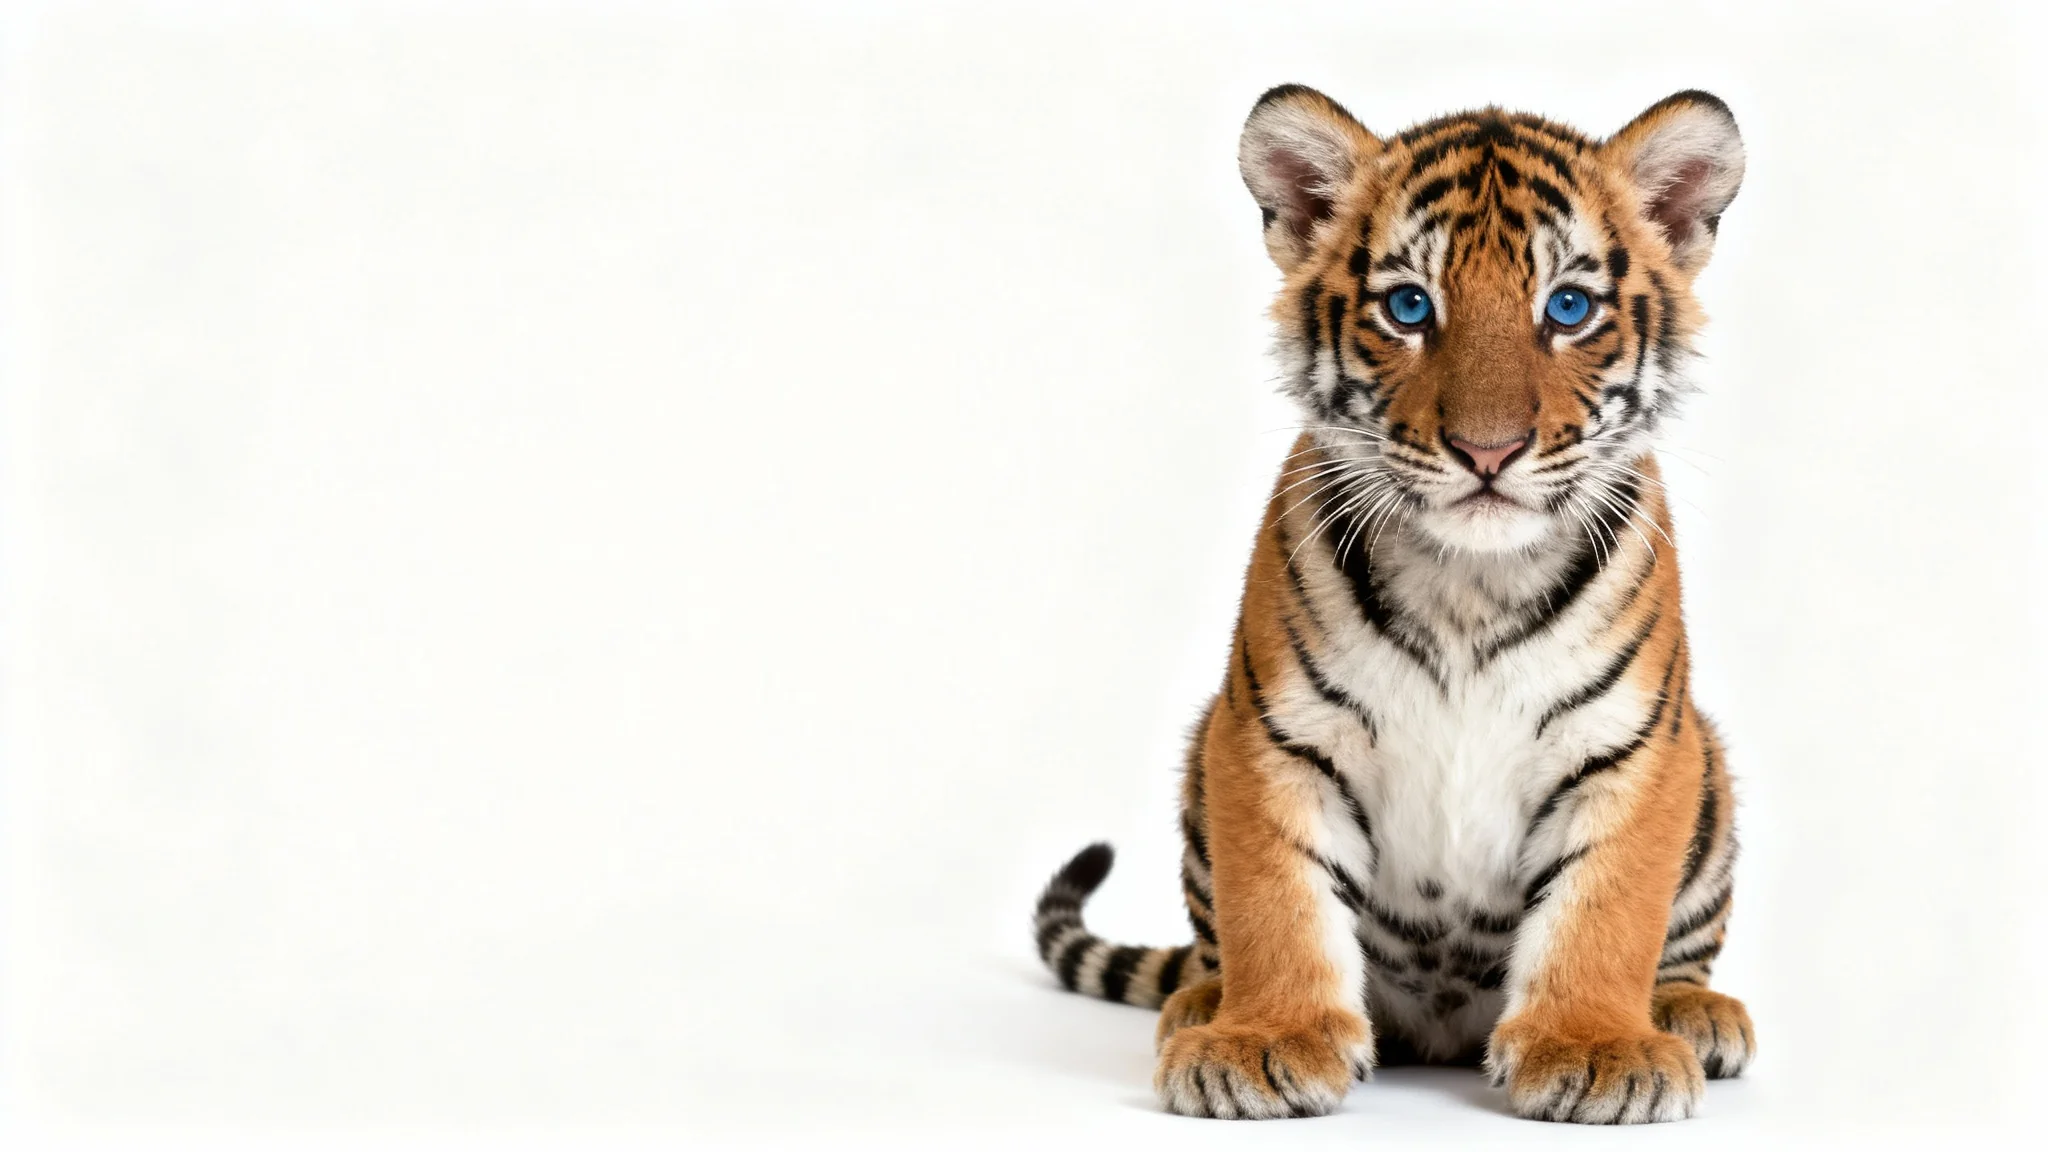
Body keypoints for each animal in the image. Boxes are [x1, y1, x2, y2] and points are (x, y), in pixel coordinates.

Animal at [1029, 86, 1750, 1124]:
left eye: (1568, 307)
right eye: (1409, 306)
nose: (1488, 450)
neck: (1471, 586)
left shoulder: (1635, 749)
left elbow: (1606, 912)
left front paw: (1597, 1048)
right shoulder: (1270, 735)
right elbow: (1275, 903)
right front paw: (1264, 1041)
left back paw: (1692, 1015)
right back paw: (1201, 1005)